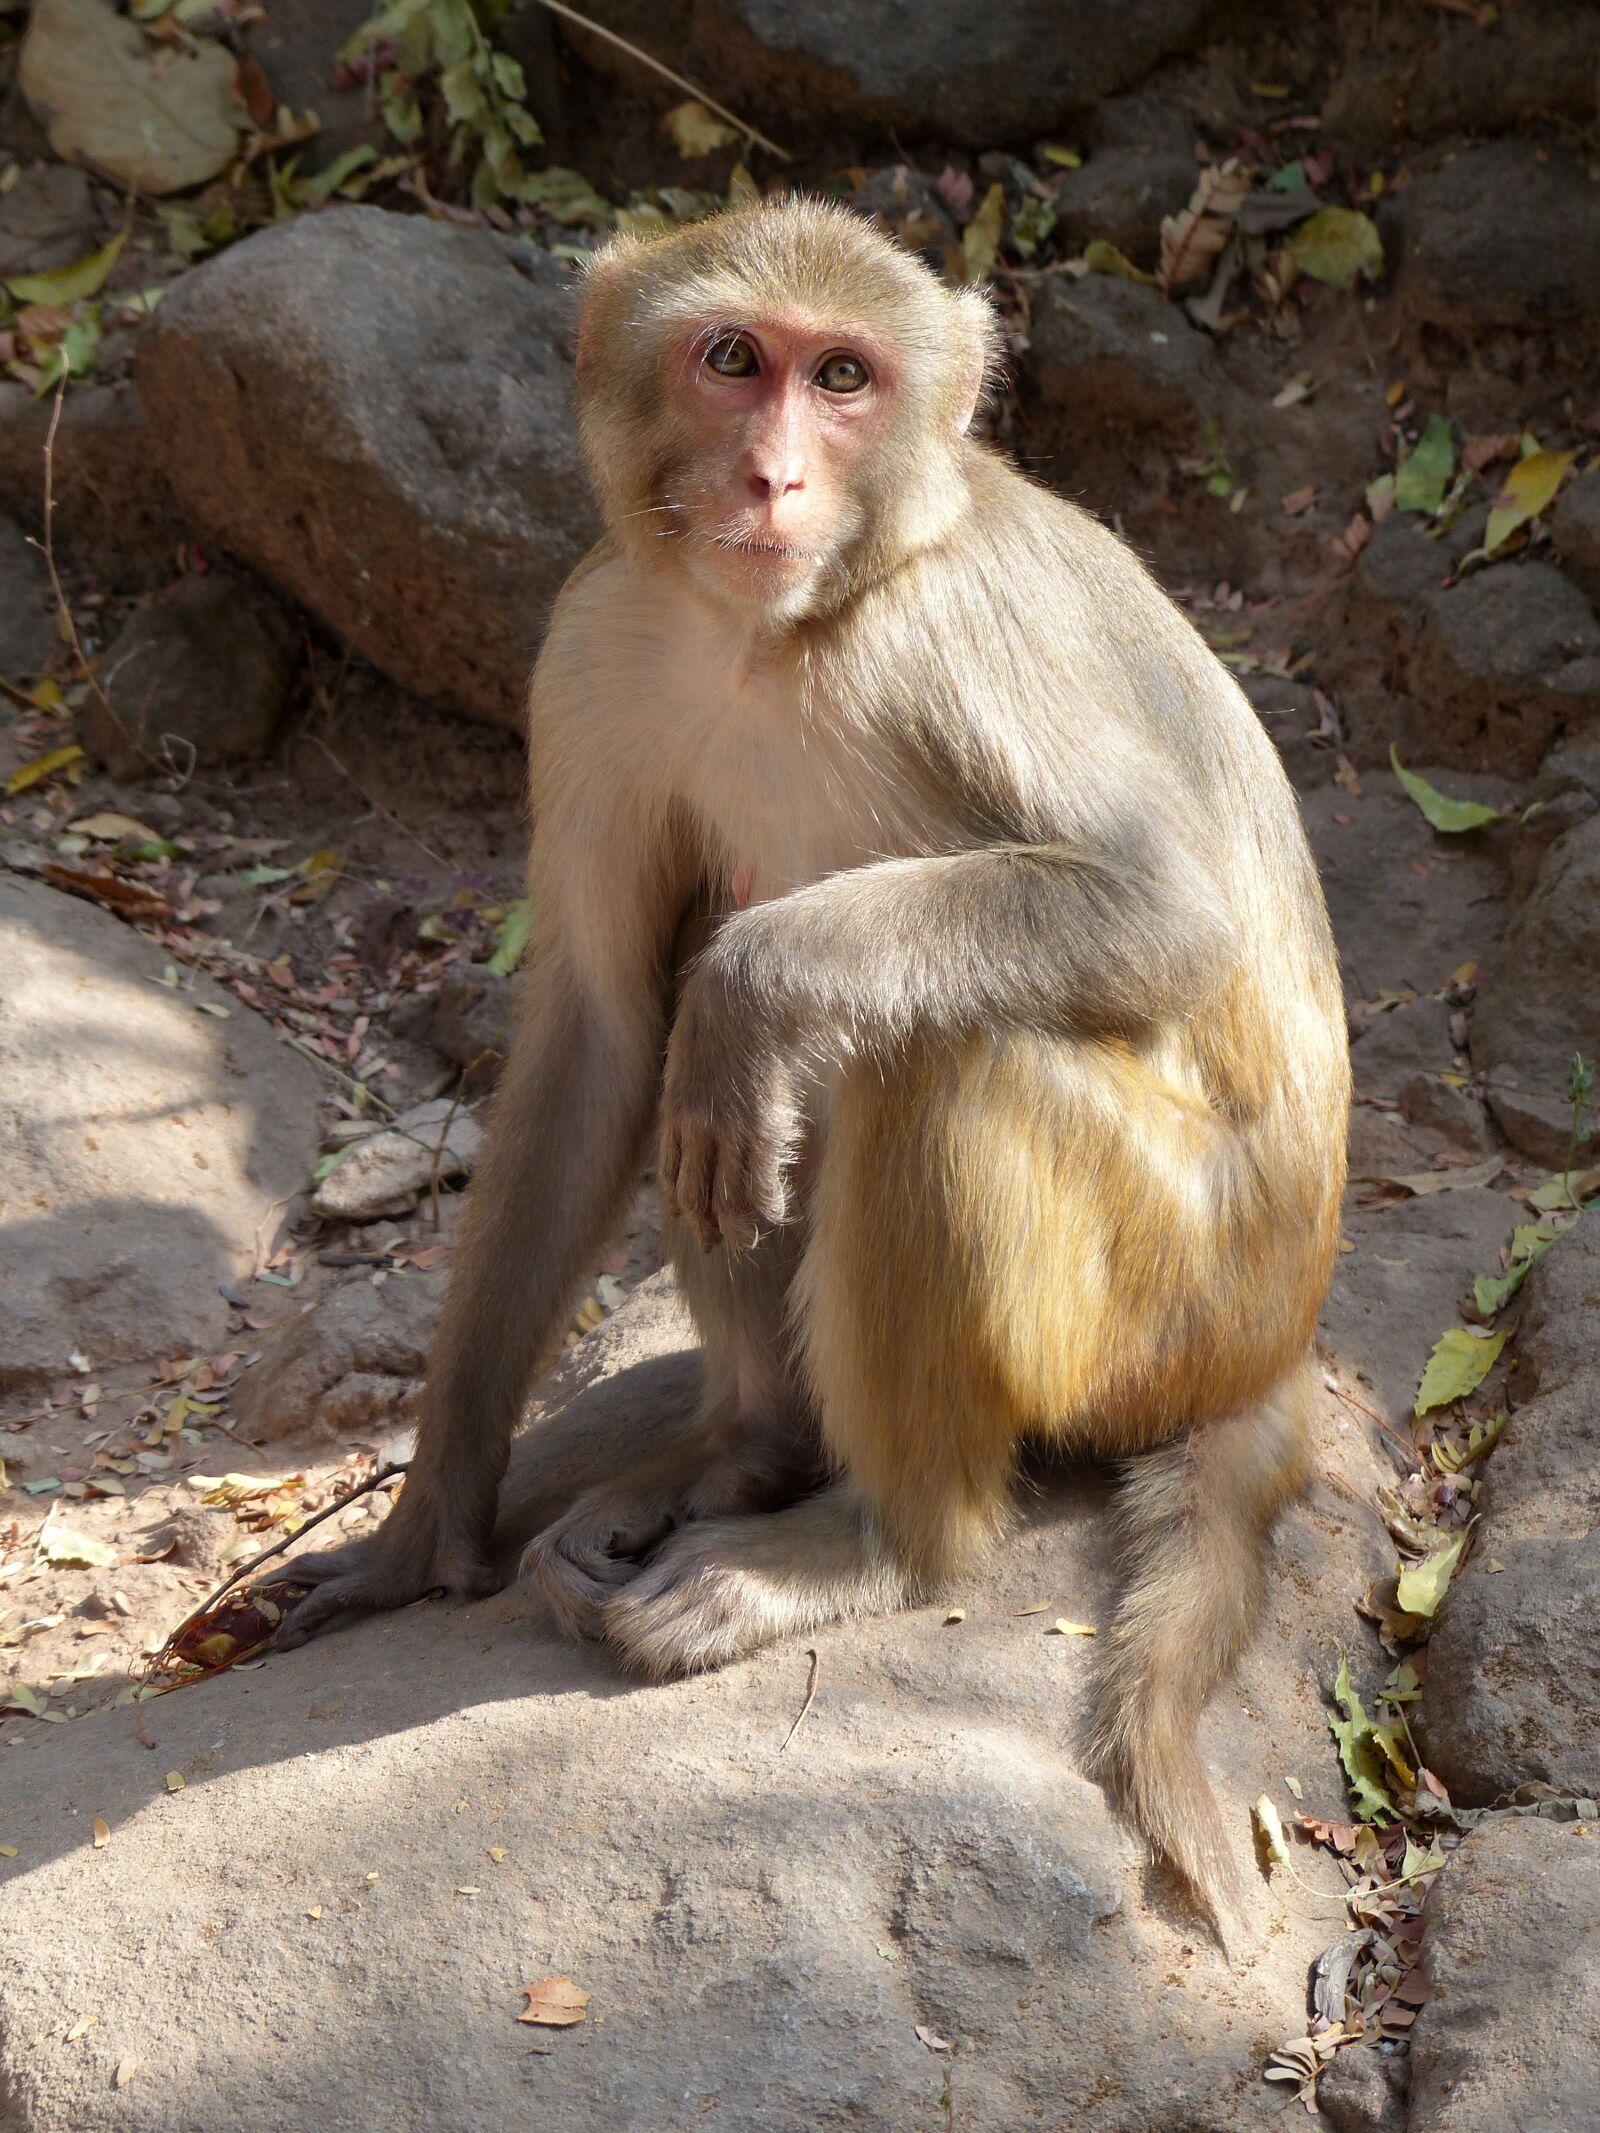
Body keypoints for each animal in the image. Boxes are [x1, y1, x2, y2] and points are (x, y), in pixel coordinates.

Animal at [272, 198, 1349, 1922]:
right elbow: (601, 1029)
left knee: (925, 1065)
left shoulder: (944, 637)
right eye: (734, 359)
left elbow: (1164, 912)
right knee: (714, 1074)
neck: (776, 636)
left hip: (1177, 1307)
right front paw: (420, 1534)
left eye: (843, 378)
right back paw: (751, 1451)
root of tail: (1277, 1346)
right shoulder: (597, 639)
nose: (775, 476)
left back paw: (876, 1543)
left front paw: (758, 984)